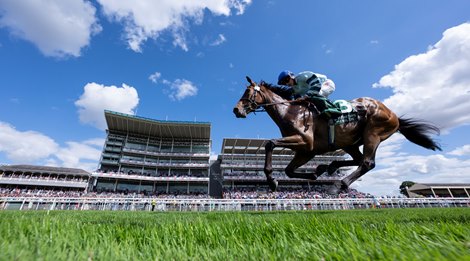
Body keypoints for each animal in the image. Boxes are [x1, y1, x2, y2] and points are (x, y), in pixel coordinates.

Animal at [233, 76, 442, 190]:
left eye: (248, 92)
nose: (236, 110)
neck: (289, 111)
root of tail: (394, 115)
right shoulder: (306, 151)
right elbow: (288, 171)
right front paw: (314, 174)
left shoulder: (305, 142)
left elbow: (270, 143)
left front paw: (271, 181)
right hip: (350, 142)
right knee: (358, 159)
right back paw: (330, 167)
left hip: (373, 133)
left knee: (367, 163)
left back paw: (339, 184)